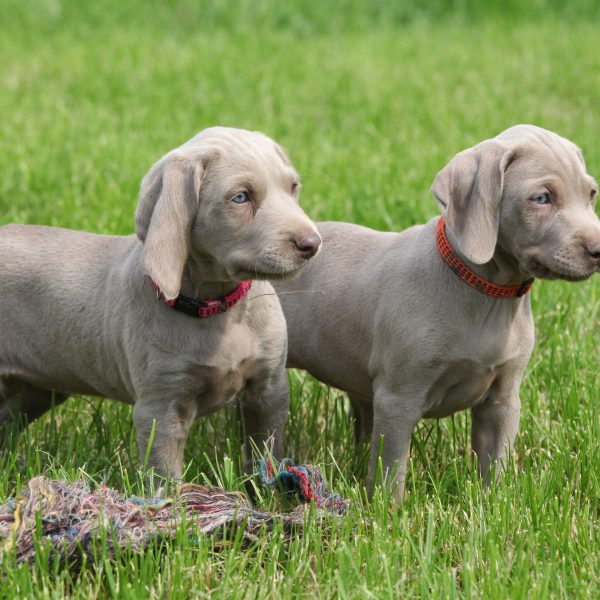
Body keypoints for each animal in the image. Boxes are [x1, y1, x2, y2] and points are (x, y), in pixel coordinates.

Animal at [0, 127, 324, 482]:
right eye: (241, 197)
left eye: (293, 188)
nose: (312, 244)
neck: (218, 308)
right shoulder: (161, 408)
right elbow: (165, 477)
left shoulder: (269, 390)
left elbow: (266, 455)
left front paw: (267, 493)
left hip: (33, 390)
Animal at [276, 124, 600, 500]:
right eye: (542, 198)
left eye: (591, 194)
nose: (599, 249)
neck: (488, 294)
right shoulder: (397, 399)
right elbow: (391, 471)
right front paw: (388, 512)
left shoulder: (502, 400)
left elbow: (494, 465)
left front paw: (491, 504)